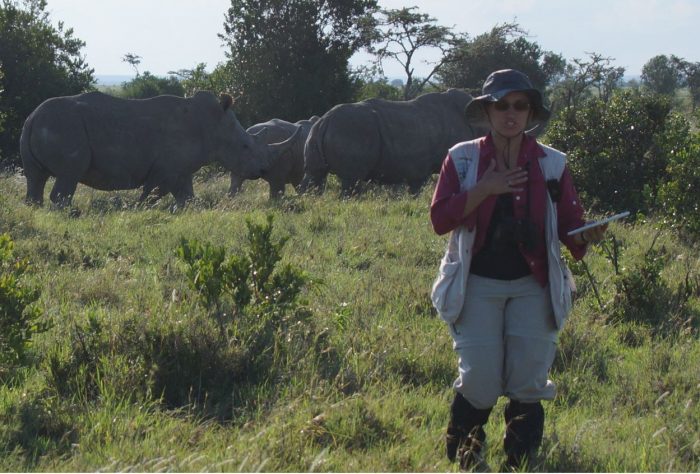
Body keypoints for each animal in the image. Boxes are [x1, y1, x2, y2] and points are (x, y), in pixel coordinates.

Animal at [298, 89, 484, 194]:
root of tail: (325, 121)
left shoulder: (417, 169)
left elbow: (415, 189)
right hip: (351, 130)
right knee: (351, 181)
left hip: (315, 133)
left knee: (314, 175)